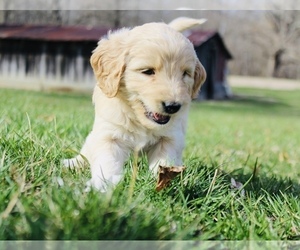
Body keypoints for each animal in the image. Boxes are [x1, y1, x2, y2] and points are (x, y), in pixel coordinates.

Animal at [63, 19, 206, 191]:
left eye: (185, 74)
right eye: (148, 71)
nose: (173, 106)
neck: (140, 120)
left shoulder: (170, 137)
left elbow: (164, 161)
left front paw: (163, 180)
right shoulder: (109, 134)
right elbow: (107, 162)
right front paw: (102, 185)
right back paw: (74, 163)